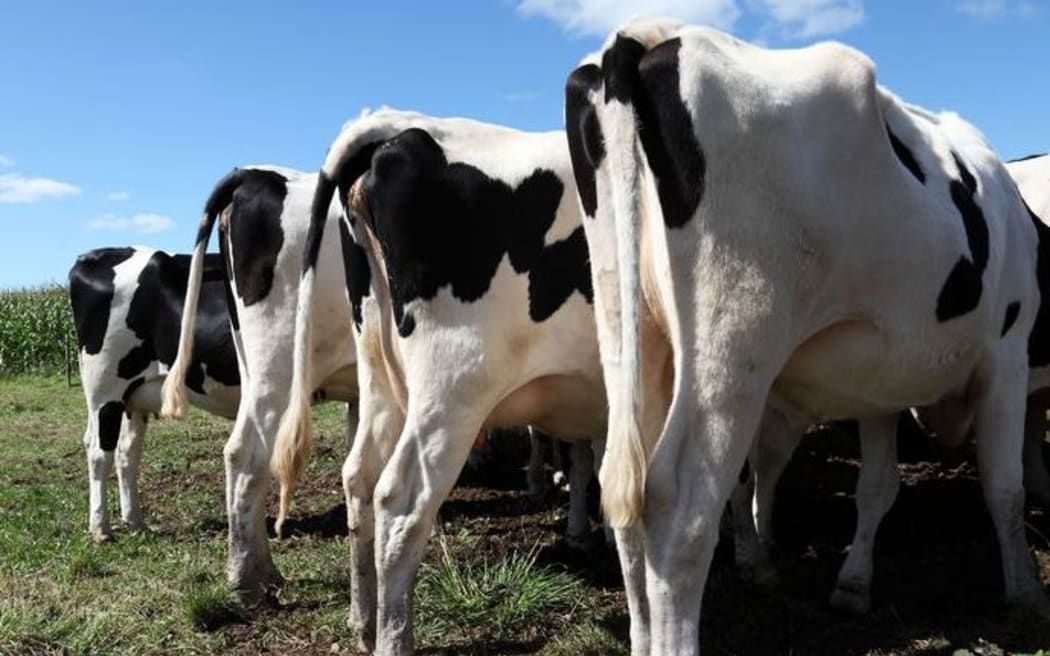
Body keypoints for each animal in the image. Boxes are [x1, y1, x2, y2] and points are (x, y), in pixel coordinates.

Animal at [69, 247, 239, 543]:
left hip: (134, 396)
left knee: (126, 452)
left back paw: (135, 521)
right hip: (106, 390)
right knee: (100, 452)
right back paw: (101, 529)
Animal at [160, 165, 358, 600]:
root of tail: (255, 173)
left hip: (252, 366)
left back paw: (259, 568)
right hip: (277, 366)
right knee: (249, 455)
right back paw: (247, 579)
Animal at [272, 108, 606, 654]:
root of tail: (398, 125)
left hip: (381, 377)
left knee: (359, 478)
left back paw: (364, 621)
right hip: (452, 389)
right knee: (400, 504)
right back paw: (393, 637)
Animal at [567, 18, 1046, 654]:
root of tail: (648, 33)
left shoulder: (880, 383)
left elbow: (879, 486)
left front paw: (854, 586)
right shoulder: (1007, 352)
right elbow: (1004, 486)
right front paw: (1025, 591)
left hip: (629, 331)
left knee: (628, 502)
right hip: (735, 338)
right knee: (680, 506)